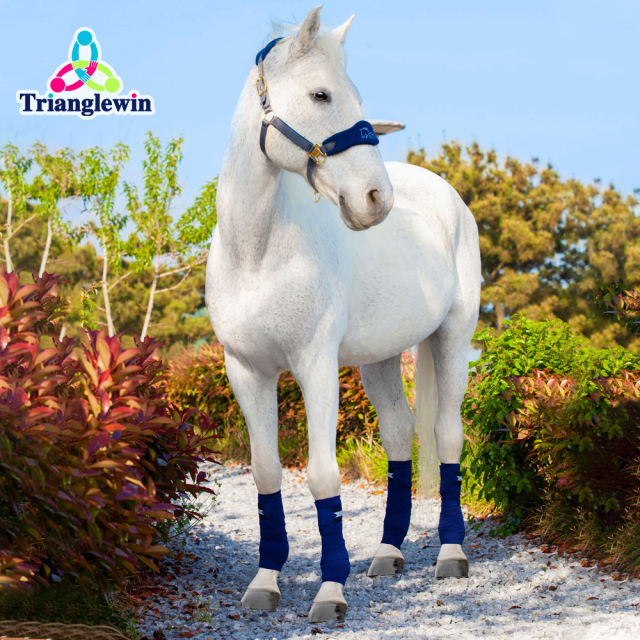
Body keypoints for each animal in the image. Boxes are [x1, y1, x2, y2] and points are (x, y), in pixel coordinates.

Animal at [205, 6, 481, 623]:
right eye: (321, 94)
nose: (376, 200)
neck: (257, 253)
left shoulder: (315, 366)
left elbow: (322, 474)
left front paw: (331, 591)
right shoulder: (246, 371)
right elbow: (266, 471)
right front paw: (265, 582)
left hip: (453, 338)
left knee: (447, 435)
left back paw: (450, 555)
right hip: (379, 359)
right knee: (401, 434)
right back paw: (386, 554)